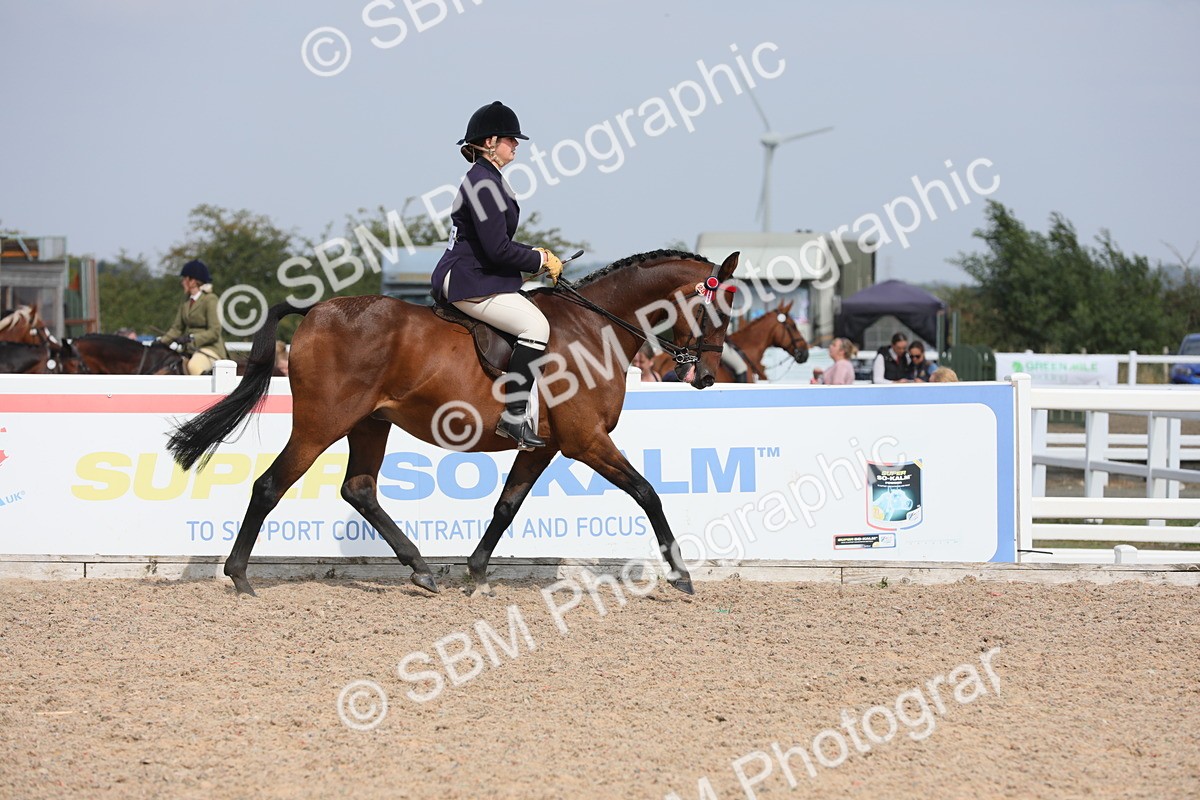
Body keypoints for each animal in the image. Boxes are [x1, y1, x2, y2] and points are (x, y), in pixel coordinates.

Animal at [166, 250, 741, 598]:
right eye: (715, 311)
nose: (707, 376)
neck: (593, 326)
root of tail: (316, 311)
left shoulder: (543, 446)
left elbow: (507, 507)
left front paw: (478, 572)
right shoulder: (586, 441)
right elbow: (647, 493)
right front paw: (681, 574)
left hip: (370, 423)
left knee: (360, 489)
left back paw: (421, 569)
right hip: (320, 424)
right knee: (270, 486)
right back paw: (240, 578)